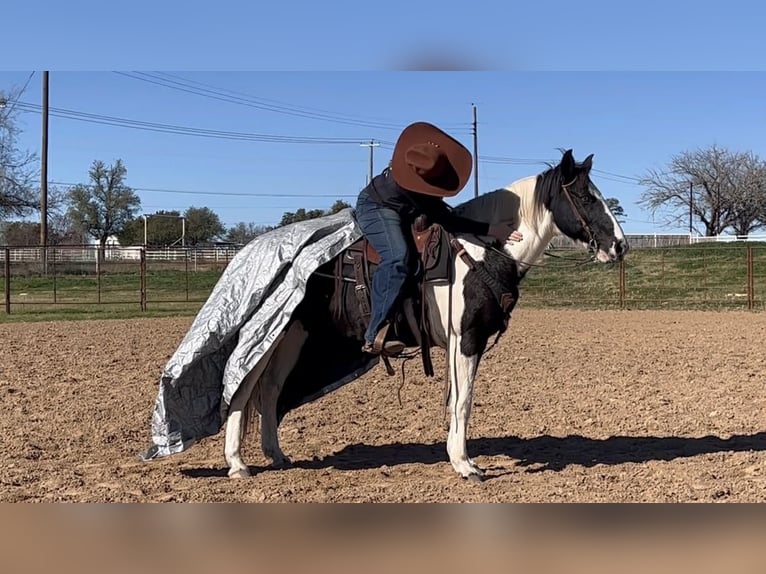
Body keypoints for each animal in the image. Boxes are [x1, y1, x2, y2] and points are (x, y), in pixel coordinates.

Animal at [222, 149, 629, 481]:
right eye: (585, 197)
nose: (620, 246)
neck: (480, 252)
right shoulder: (465, 339)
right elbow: (463, 401)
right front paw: (465, 465)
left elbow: (456, 399)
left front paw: (458, 456)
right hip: (270, 335)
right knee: (242, 388)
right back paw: (238, 464)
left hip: (293, 335)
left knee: (270, 390)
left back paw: (276, 455)